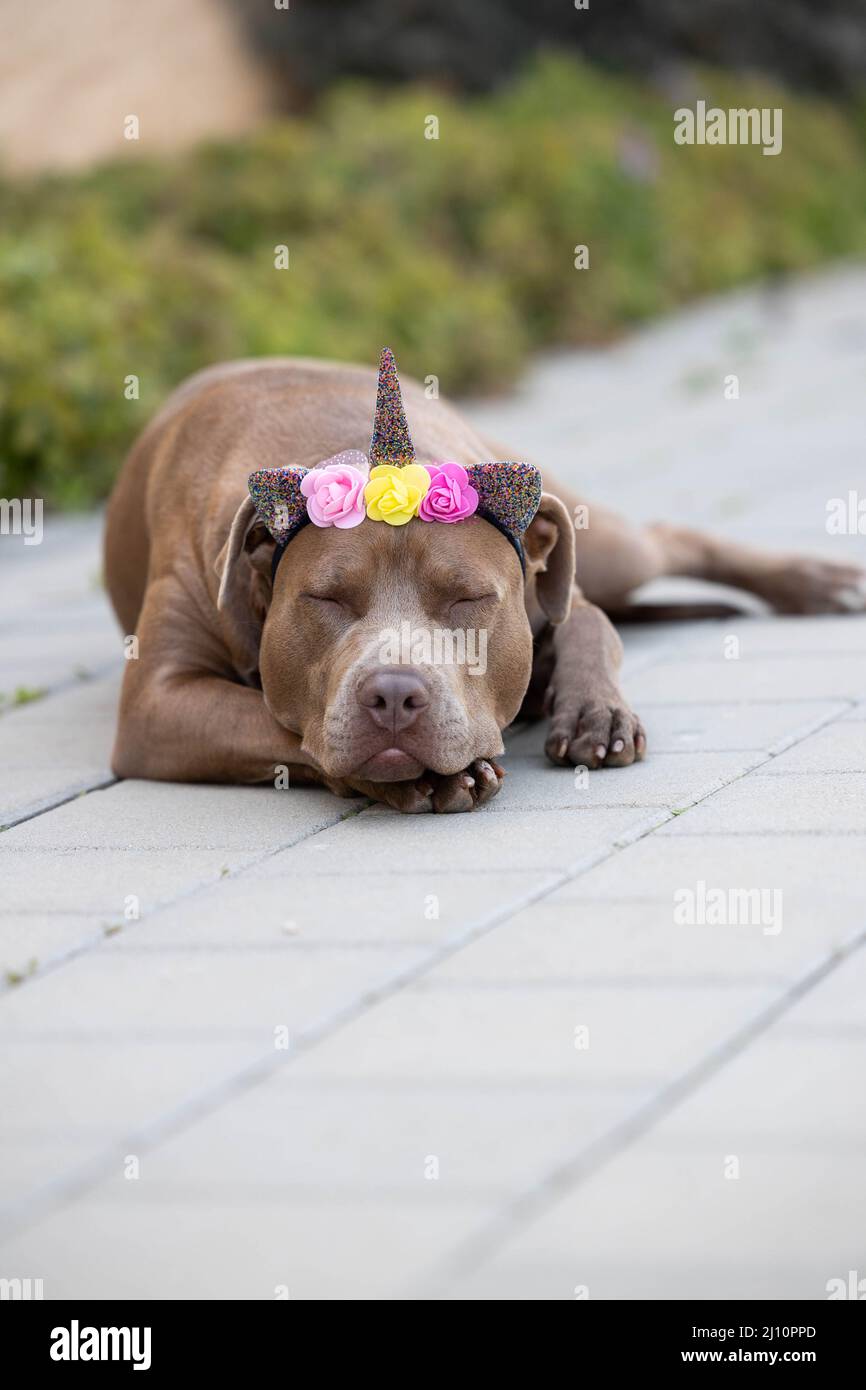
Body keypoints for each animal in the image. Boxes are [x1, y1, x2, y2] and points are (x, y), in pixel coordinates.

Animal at [104, 353, 866, 811]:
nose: (394, 695)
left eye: (468, 597)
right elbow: (271, 722)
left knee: (668, 540)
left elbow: (590, 628)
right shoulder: (159, 703)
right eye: (326, 598)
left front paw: (594, 712)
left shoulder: (552, 594)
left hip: (597, 538)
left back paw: (818, 583)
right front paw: (431, 776)